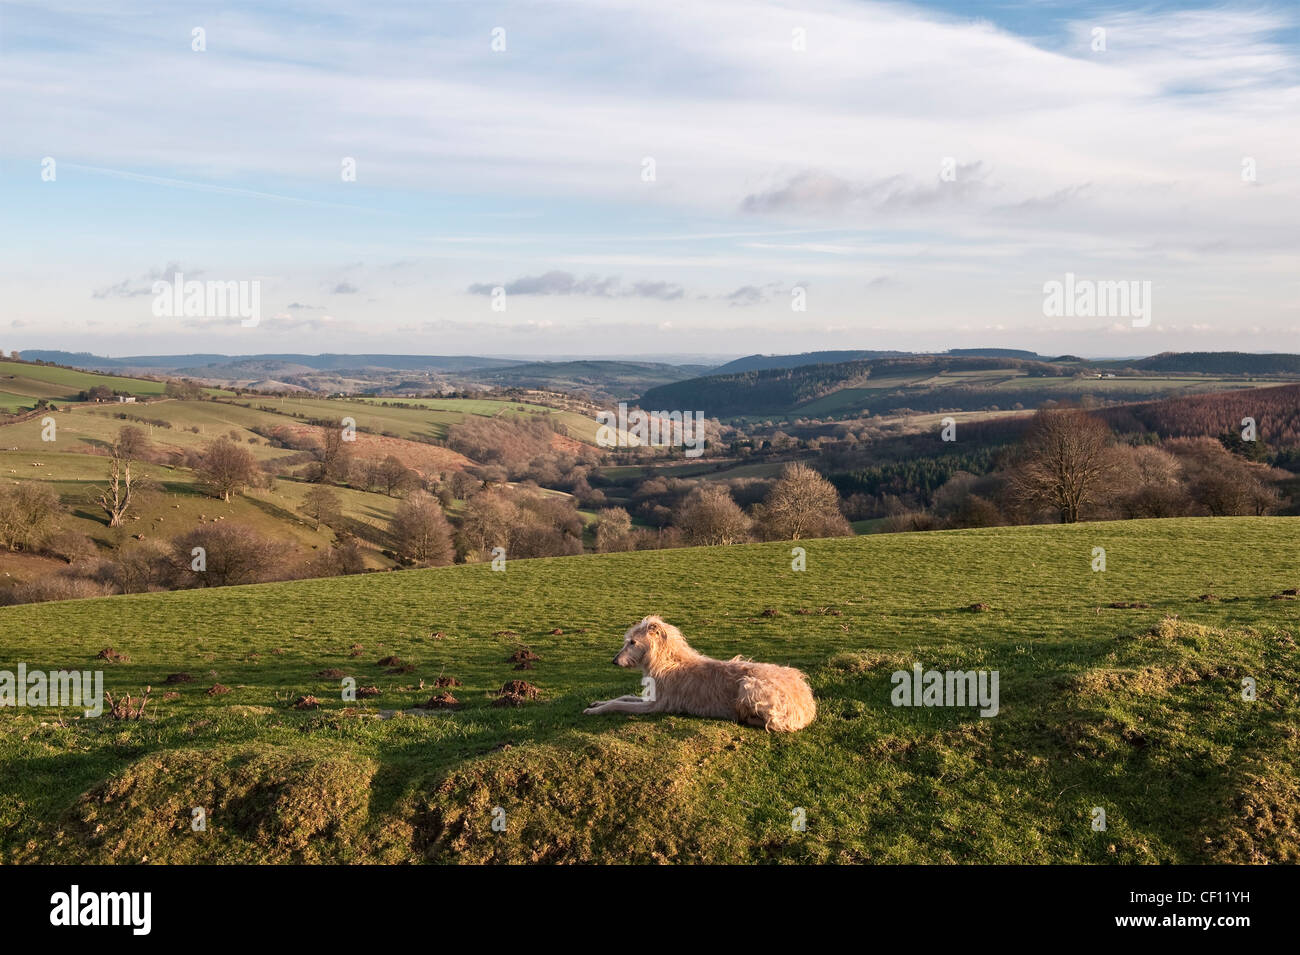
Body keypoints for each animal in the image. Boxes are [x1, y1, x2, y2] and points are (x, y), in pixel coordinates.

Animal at [587, 613, 816, 732]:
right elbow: (624, 697)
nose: (614, 661)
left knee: (773, 723)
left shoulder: (657, 705)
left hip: (749, 685)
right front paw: (597, 703)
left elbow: (619, 704)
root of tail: (807, 706)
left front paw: (596, 710)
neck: (668, 662)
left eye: (633, 642)